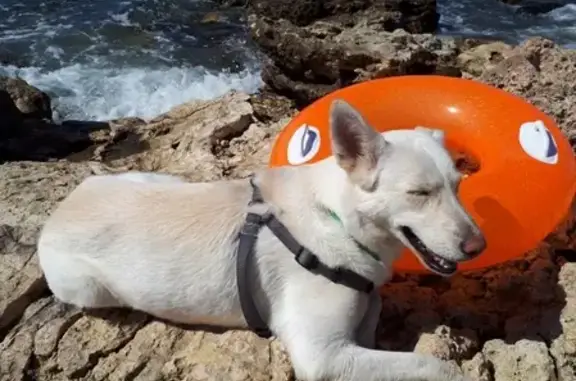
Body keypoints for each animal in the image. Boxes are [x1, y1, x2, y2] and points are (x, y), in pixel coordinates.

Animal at [37, 98, 486, 380]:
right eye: (419, 193)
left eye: (457, 186)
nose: (477, 247)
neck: (335, 216)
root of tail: (63, 207)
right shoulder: (322, 355)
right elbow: (439, 366)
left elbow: (373, 313)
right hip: (89, 289)